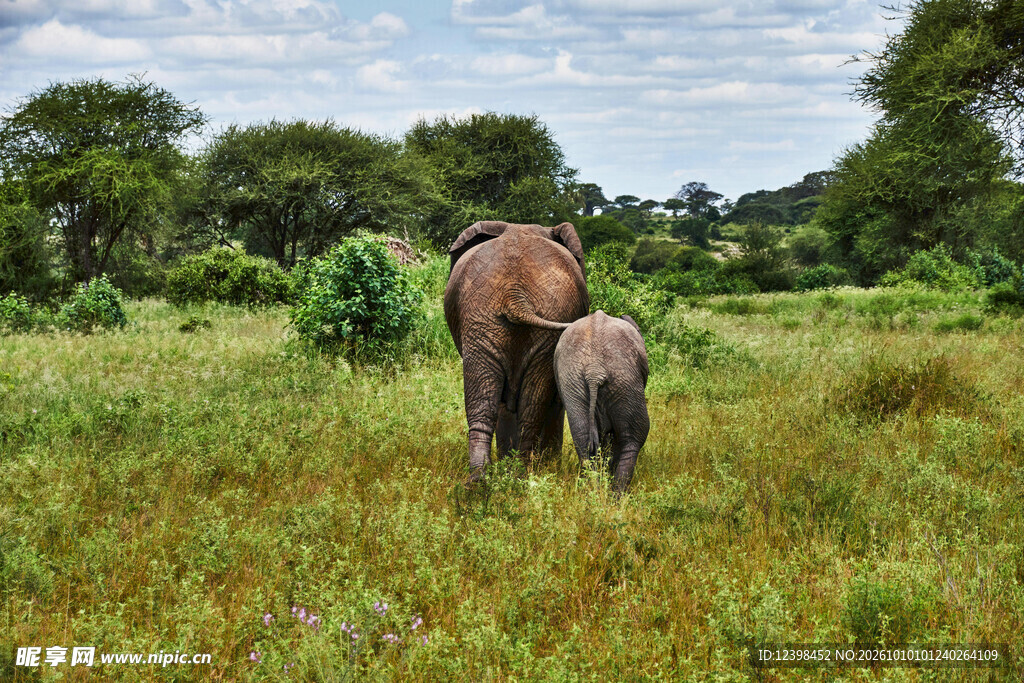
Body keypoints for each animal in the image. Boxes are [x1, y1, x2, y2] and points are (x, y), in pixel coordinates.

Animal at [444, 220, 589, 480]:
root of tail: (515, 295)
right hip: (487, 320)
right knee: (520, 404)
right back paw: (508, 476)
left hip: (486, 319)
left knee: (497, 402)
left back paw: (490, 479)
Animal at [553, 310, 650, 494]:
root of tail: (594, 371)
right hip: (625, 381)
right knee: (633, 438)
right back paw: (617, 496)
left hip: (574, 383)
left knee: (583, 440)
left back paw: (594, 492)